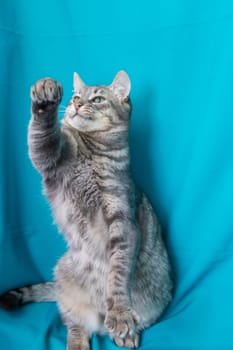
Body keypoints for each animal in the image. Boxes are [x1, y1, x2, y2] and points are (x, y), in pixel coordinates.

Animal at [0, 71, 173, 350]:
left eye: (98, 99)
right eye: (75, 97)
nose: (77, 104)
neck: (90, 152)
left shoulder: (122, 221)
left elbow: (117, 275)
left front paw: (120, 314)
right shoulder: (50, 158)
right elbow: (42, 134)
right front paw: (44, 95)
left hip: (147, 311)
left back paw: (125, 334)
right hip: (68, 287)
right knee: (76, 324)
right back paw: (78, 343)